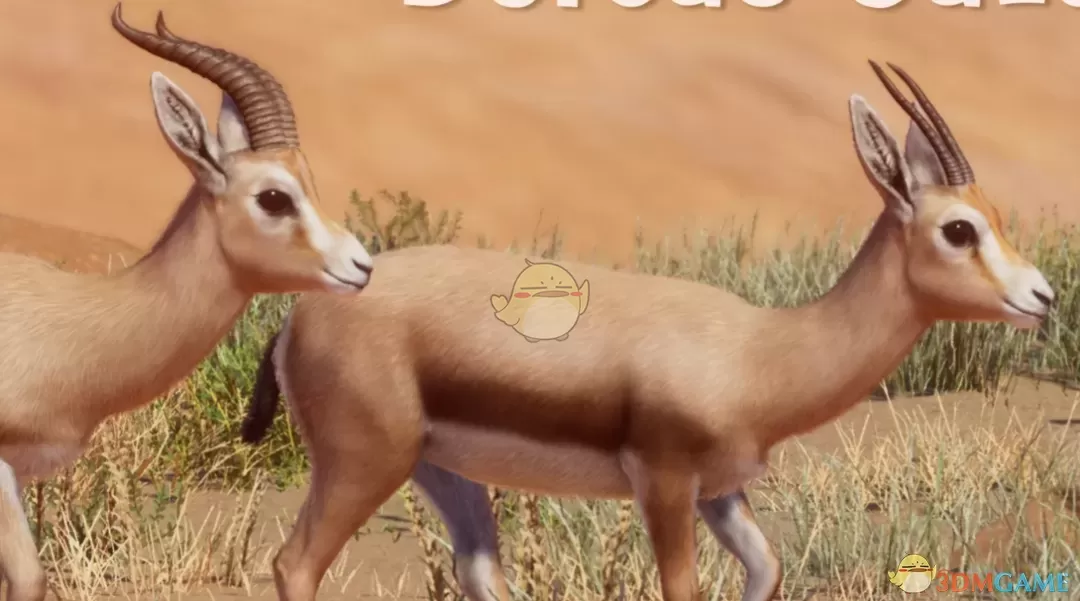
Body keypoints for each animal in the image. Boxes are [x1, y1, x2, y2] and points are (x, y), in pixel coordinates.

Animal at [240, 61, 1054, 601]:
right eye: (959, 228)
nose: (1042, 296)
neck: (759, 352)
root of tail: (298, 314)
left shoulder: (722, 492)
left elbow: (767, 568)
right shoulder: (664, 484)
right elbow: (684, 588)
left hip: (441, 468)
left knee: (477, 570)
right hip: (362, 464)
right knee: (295, 563)